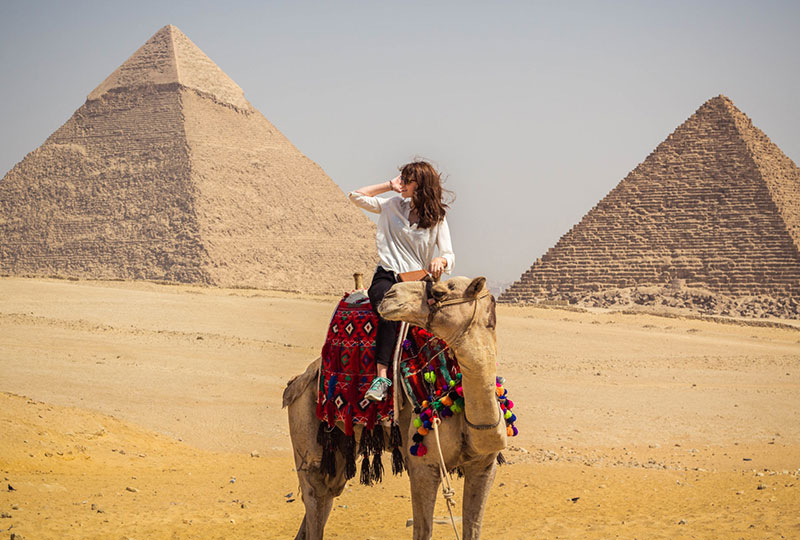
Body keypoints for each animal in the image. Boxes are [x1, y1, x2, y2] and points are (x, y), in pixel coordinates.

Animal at [282, 276, 506, 536]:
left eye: (439, 293)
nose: (390, 296)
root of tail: (298, 380)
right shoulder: (423, 467)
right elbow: (423, 531)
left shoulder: (484, 467)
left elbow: (474, 528)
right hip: (304, 423)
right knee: (315, 493)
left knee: (328, 492)